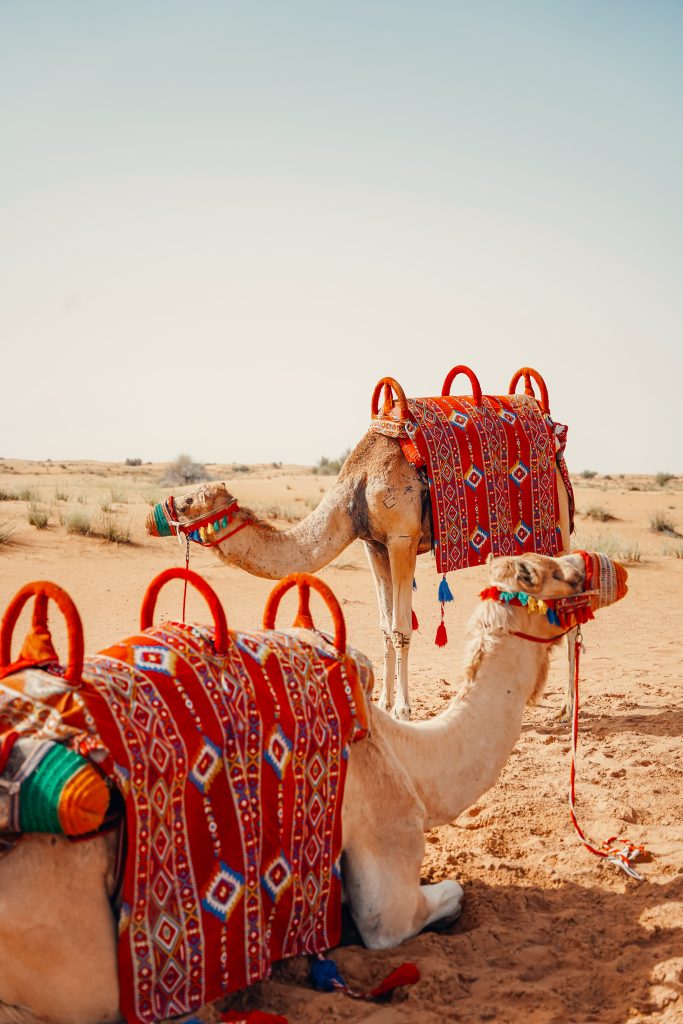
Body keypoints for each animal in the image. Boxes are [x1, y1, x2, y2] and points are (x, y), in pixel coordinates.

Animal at [146, 433, 572, 719]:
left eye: (188, 499)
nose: (153, 516)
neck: (356, 492)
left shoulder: (402, 539)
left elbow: (401, 627)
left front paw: (403, 708)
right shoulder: (373, 545)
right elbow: (384, 625)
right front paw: (382, 702)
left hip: (558, 526)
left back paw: (567, 707)